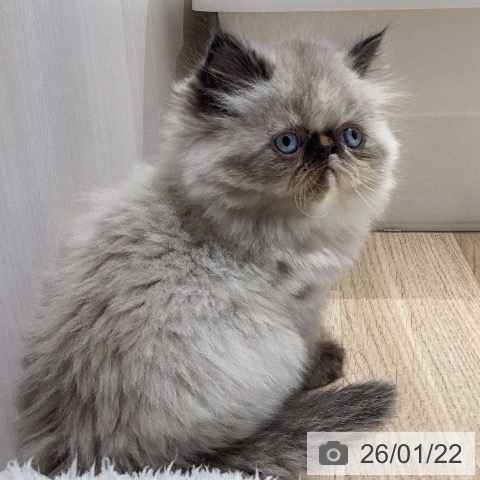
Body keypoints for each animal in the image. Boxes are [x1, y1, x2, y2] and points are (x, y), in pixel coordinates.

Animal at [16, 27, 399, 479]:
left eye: (351, 137)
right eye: (288, 143)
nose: (328, 151)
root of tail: (101, 458)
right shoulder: (297, 306)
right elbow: (309, 345)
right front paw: (326, 363)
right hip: (274, 353)